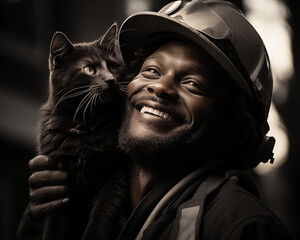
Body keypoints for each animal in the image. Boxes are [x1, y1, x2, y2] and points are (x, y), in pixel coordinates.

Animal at [37, 22, 129, 240]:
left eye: (113, 66)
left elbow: (103, 212)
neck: (85, 122)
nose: (111, 80)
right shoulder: (59, 184)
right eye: (89, 69)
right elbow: (54, 222)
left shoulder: (116, 173)